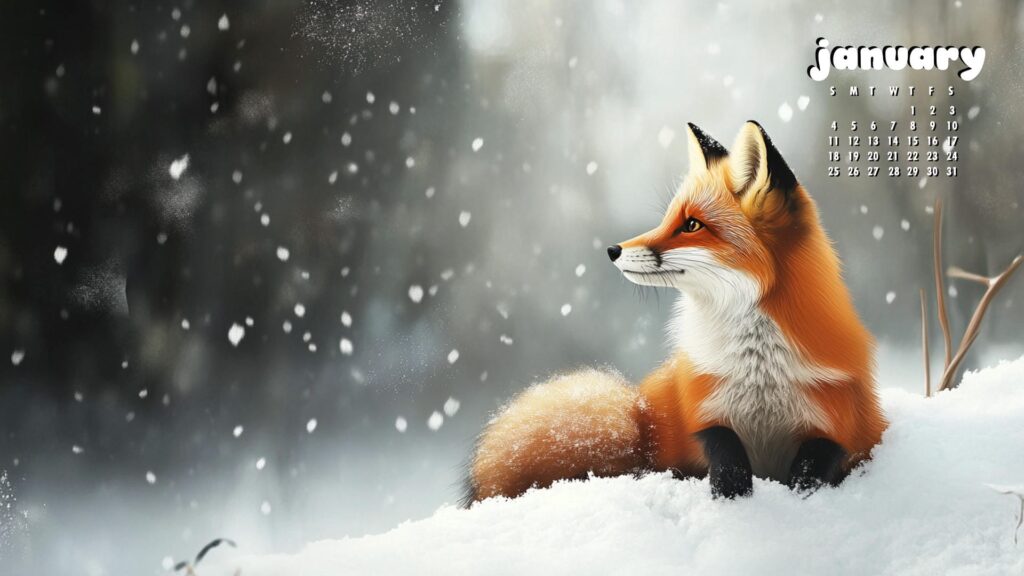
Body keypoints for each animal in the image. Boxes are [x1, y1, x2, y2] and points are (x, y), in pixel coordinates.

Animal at [463, 121, 887, 504]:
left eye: (692, 225)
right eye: (669, 219)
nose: (612, 250)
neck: (759, 372)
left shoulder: (844, 422)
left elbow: (816, 461)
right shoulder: (698, 408)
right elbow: (722, 445)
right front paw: (732, 492)